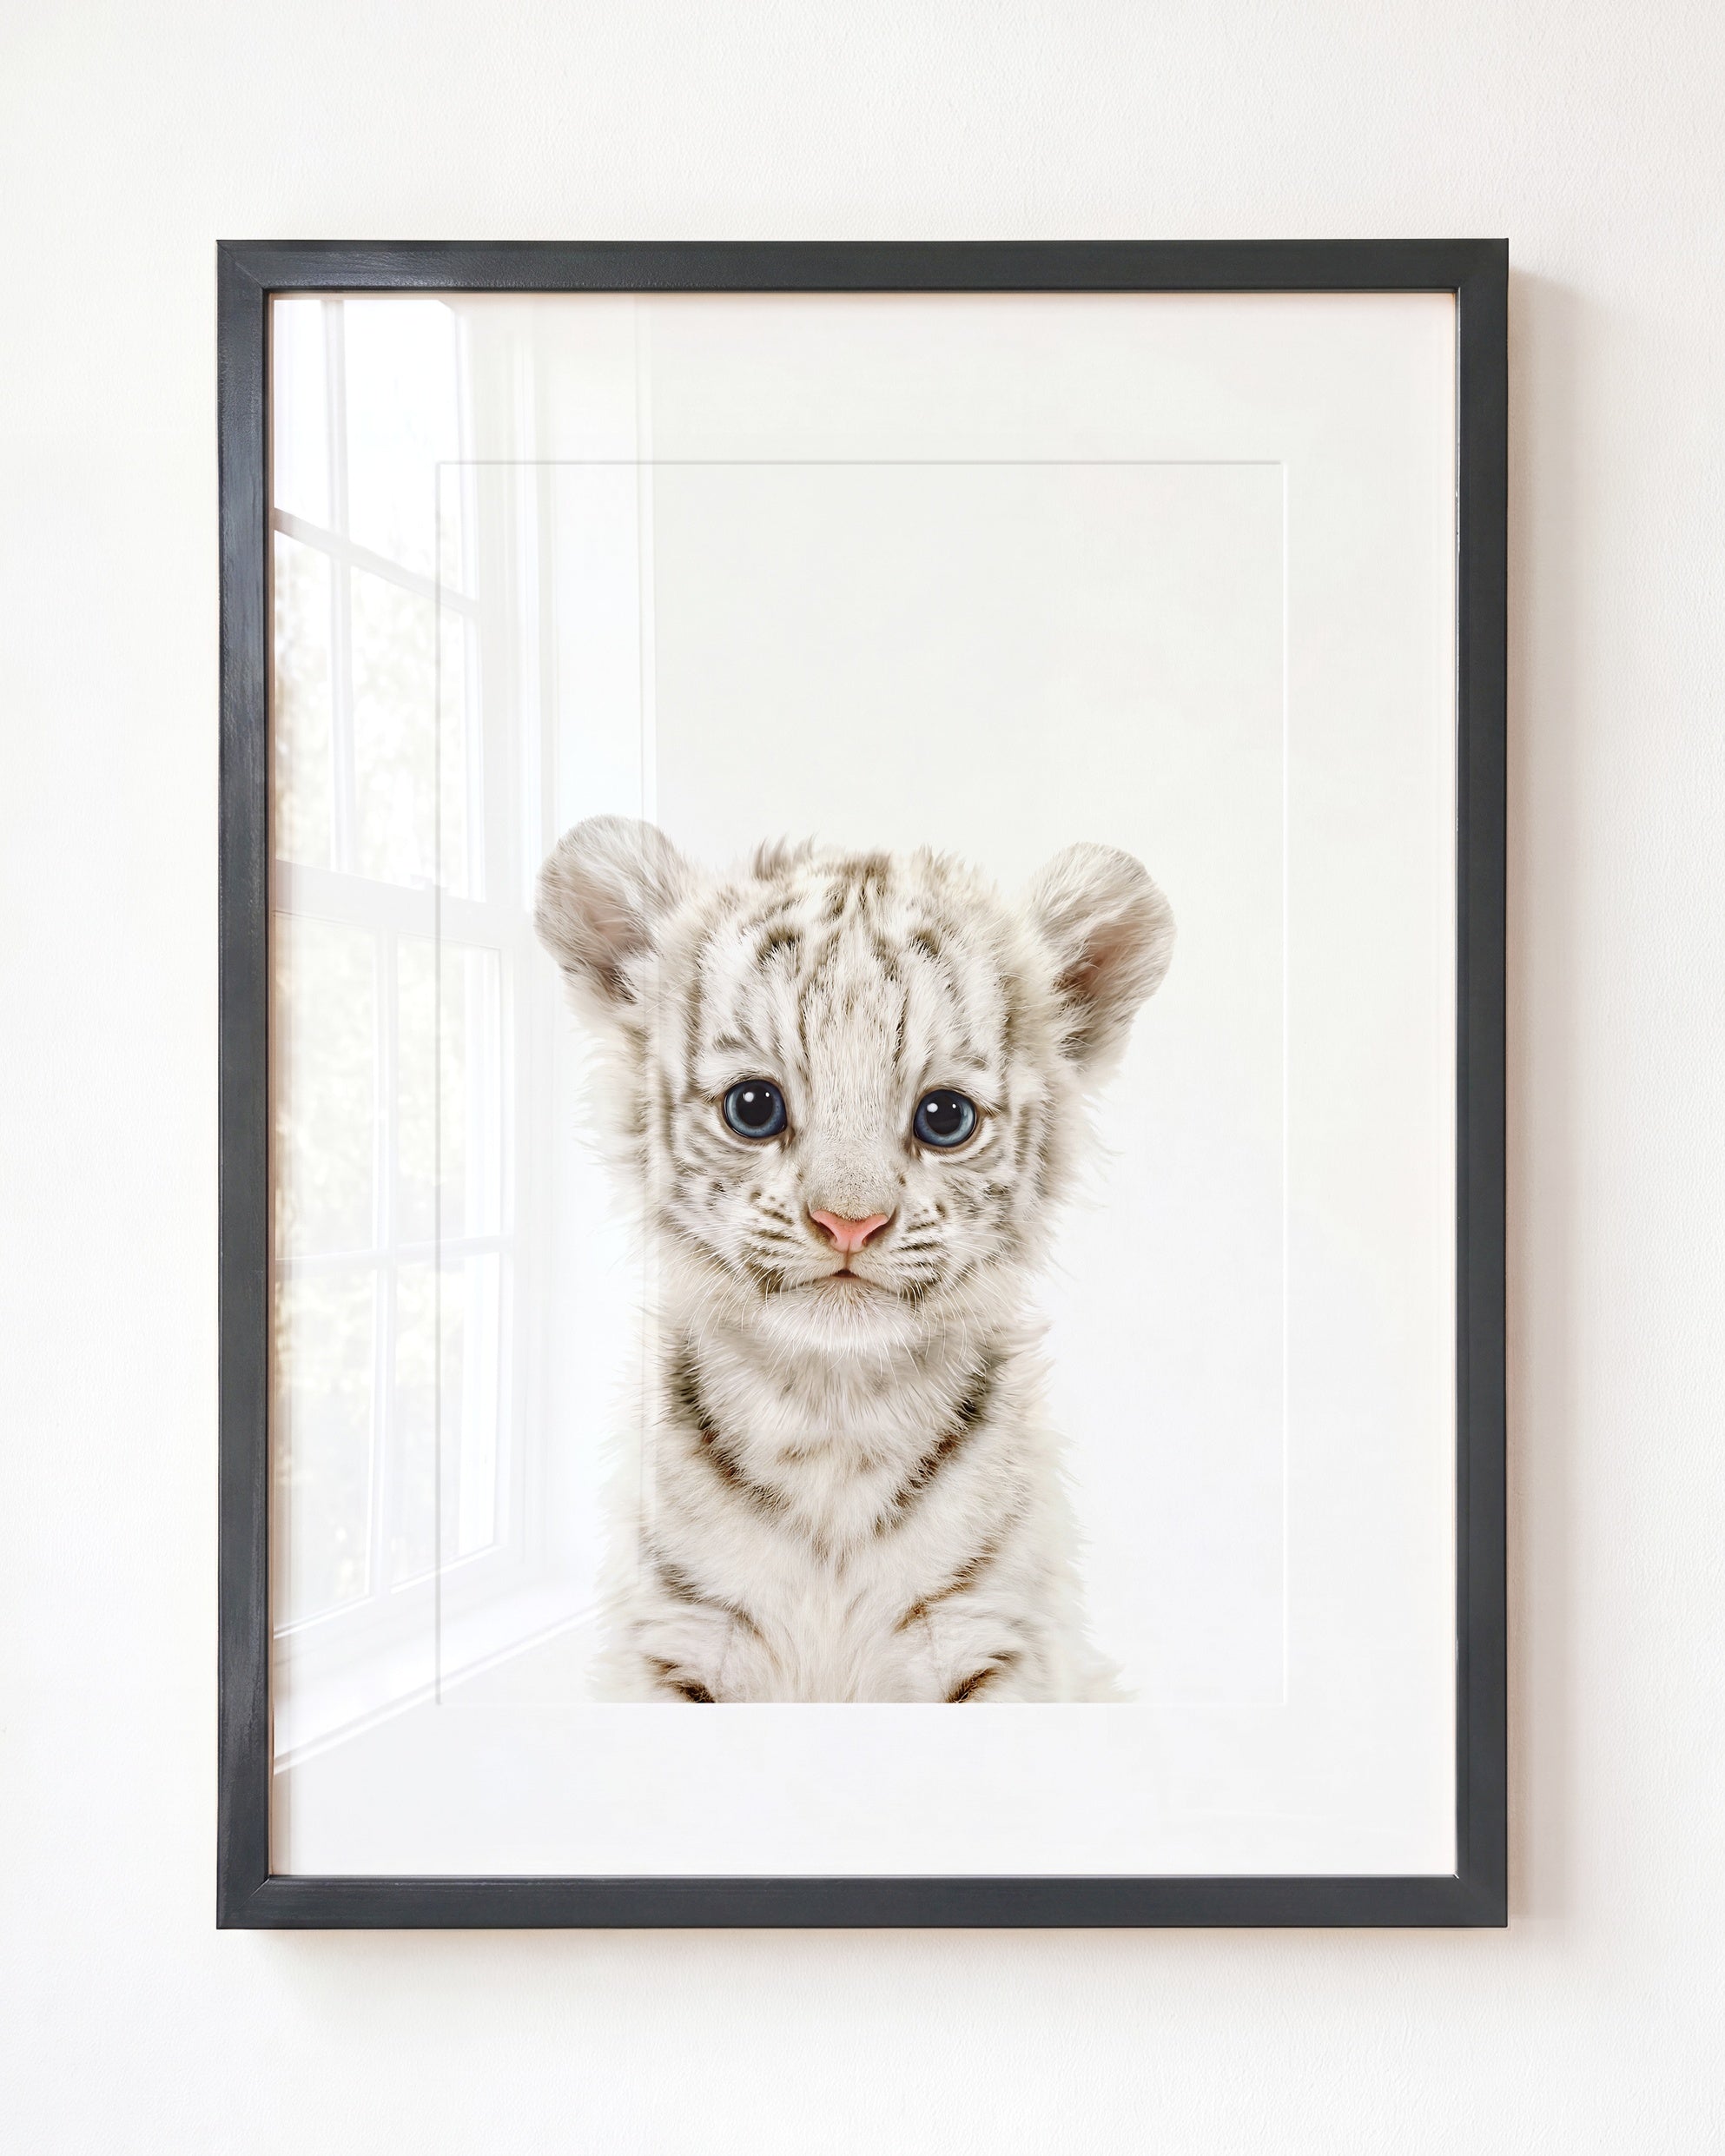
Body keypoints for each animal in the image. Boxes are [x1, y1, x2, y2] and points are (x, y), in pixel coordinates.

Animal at [534, 816, 1174, 1702]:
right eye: (754, 1107)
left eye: (945, 1118)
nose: (848, 1223)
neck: (831, 1417)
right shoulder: (676, 1641)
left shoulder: (992, 1641)